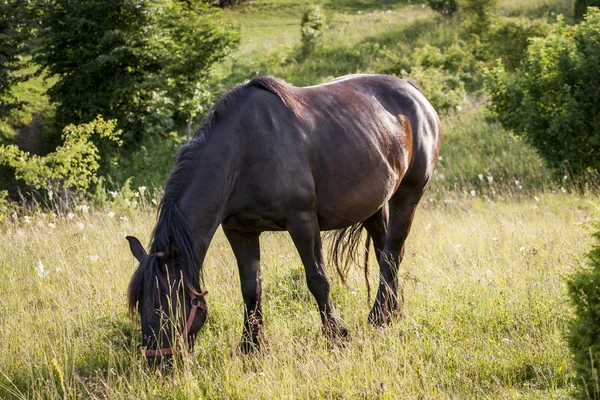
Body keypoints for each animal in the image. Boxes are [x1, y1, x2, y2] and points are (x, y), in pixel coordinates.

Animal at [125, 73, 440, 360]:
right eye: (139, 304)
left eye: (165, 302)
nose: (156, 359)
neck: (242, 153)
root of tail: (413, 92)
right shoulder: (239, 231)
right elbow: (250, 287)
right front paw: (251, 345)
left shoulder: (302, 222)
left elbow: (317, 279)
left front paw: (336, 335)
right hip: (376, 204)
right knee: (385, 253)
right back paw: (393, 312)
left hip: (408, 195)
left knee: (391, 253)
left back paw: (378, 316)